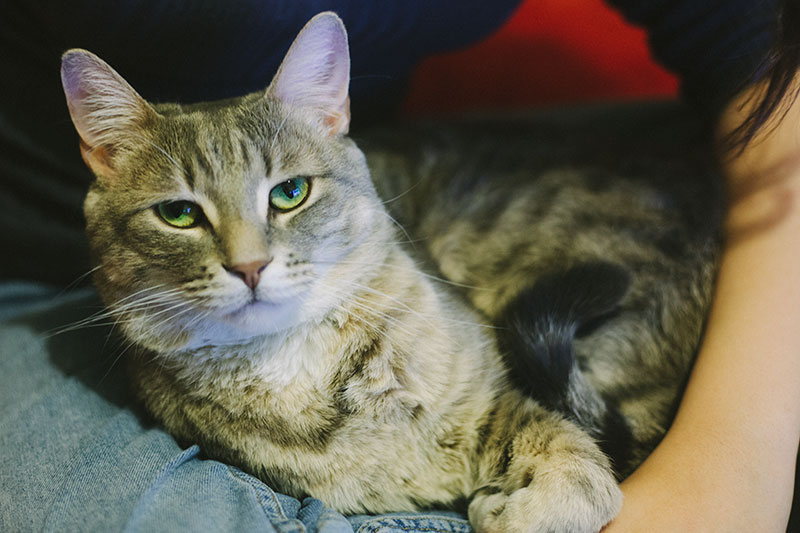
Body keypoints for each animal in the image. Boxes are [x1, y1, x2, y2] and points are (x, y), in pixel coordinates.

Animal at [59, 12, 720, 532]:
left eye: (290, 193)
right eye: (178, 213)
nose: (249, 266)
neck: (295, 363)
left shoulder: (503, 397)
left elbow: (583, 473)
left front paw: (515, 509)